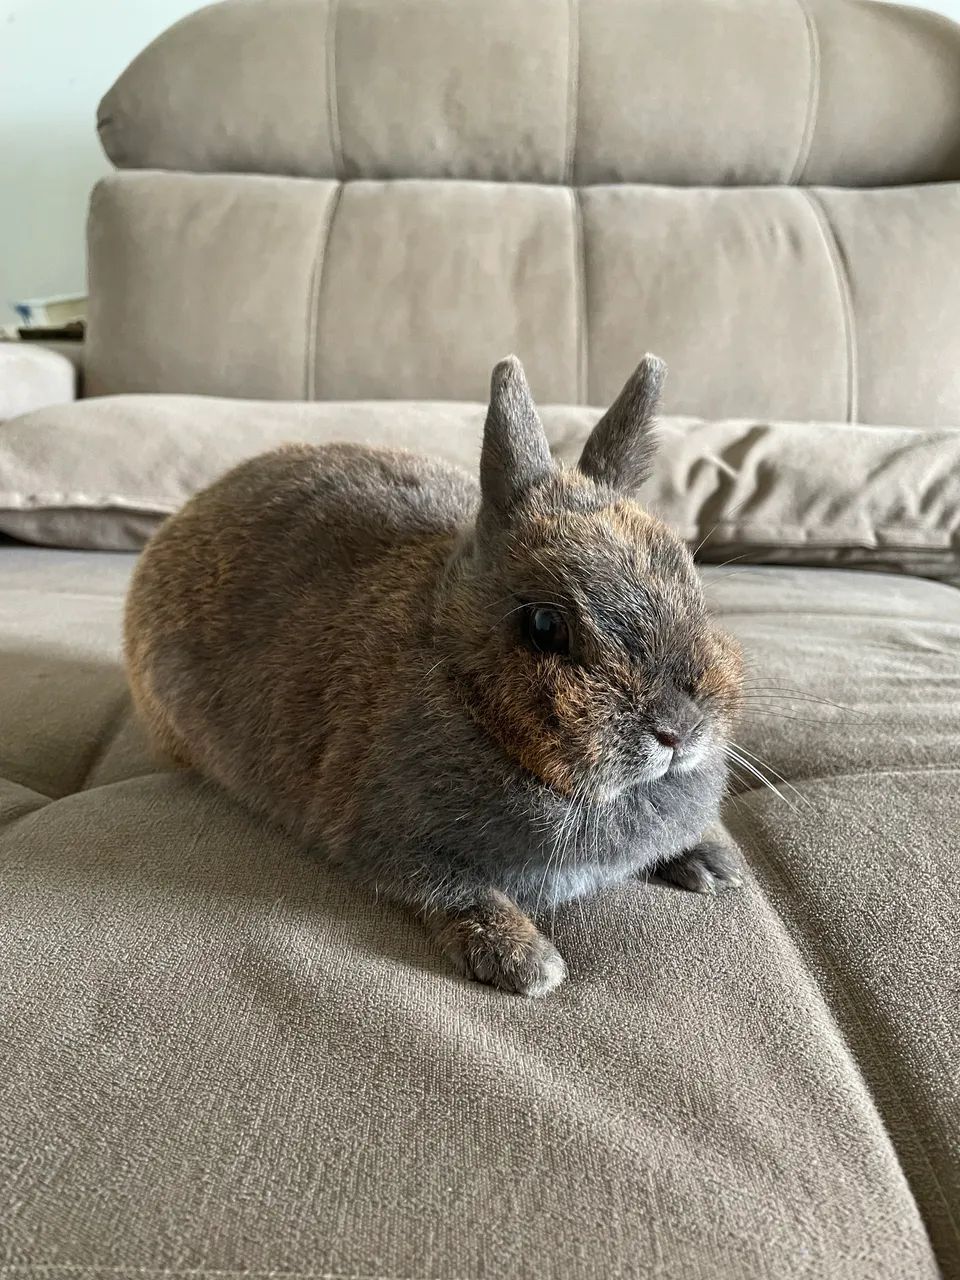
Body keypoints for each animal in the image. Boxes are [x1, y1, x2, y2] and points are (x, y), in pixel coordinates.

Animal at [125, 354, 744, 997]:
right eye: (546, 625)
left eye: (689, 579)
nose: (678, 730)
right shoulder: (397, 847)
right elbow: (453, 894)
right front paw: (527, 963)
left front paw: (713, 865)